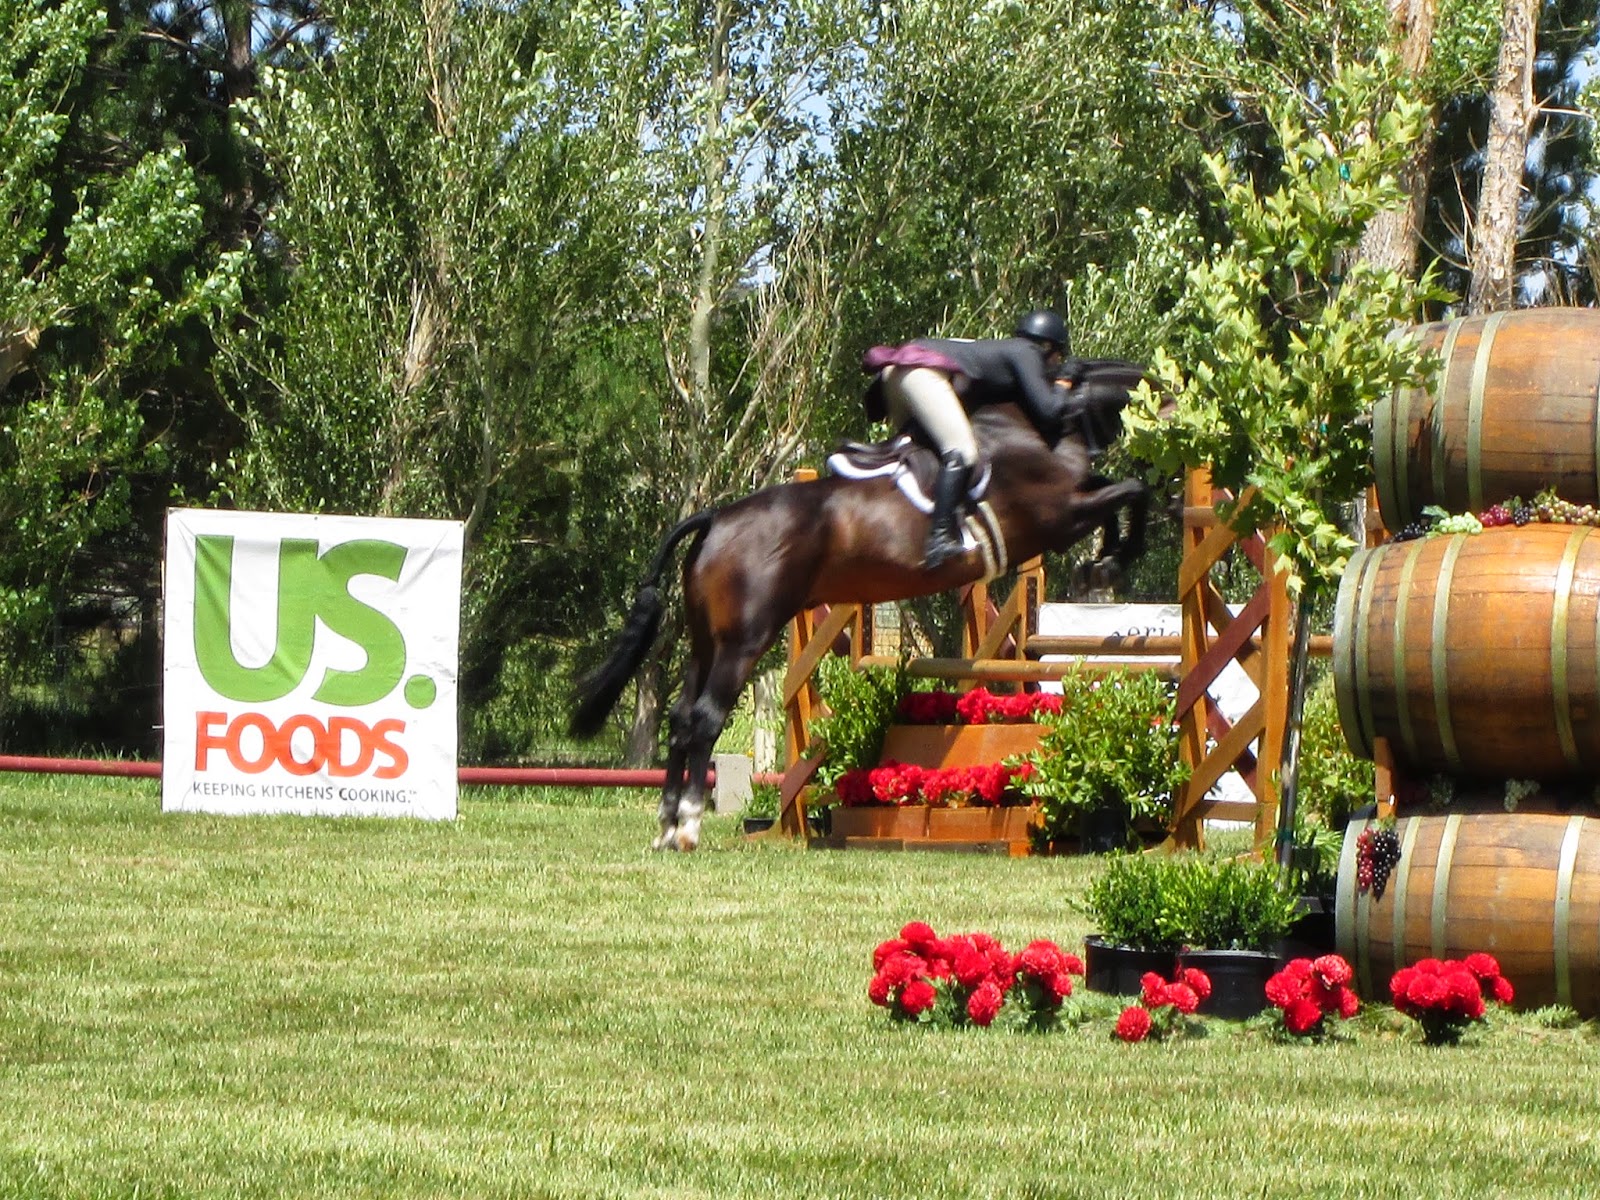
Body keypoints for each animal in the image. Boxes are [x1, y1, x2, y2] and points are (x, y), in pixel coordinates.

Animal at [568, 360, 1151, 851]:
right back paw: (688, 826)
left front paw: (1104, 562)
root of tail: (715, 517)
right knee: (706, 718)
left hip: (705, 642)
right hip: (744, 641)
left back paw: (667, 828)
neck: (1040, 425)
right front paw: (1111, 561)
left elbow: (1117, 492)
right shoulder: (1058, 515)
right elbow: (1127, 490)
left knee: (681, 716)